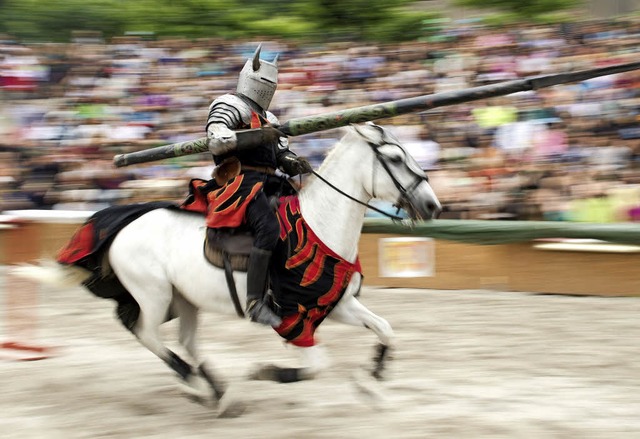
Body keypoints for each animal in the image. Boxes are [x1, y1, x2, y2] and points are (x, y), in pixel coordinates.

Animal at [11, 123, 440, 412]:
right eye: (396, 158)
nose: (433, 205)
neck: (321, 223)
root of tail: (127, 220)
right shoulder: (294, 321)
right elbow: (318, 366)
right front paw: (264, 372)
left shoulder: (336, 307)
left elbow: (385, 330)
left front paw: (373, 382)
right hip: (153, 294)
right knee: (146, 332)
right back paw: (198, 385)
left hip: (183, 300)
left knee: (183, 340)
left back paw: (214, 389)